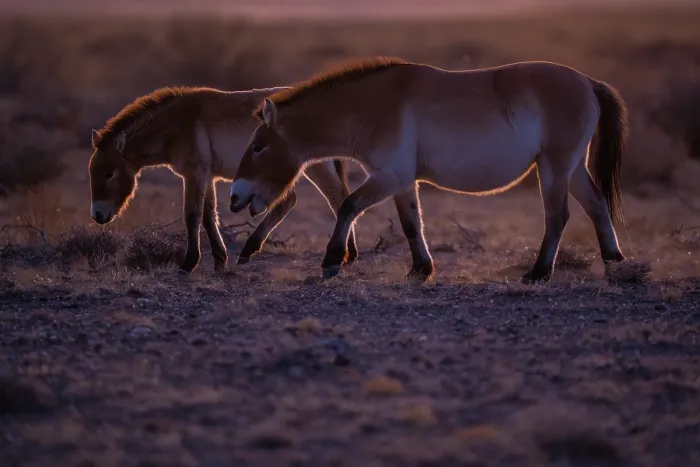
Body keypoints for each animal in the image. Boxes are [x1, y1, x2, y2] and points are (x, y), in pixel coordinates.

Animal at [88, 86, 360, 273]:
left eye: (108, 173)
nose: (97, 216)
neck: (176, 124)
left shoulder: (194, 175)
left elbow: (192, 216)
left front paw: (189, 263)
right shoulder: (207, 177)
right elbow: (209, 215)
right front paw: (220, 259)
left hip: (315, 168)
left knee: (334, 198)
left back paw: (347, 255)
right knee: (296, 201)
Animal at [229, 57, 628, 283]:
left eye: (258, 145)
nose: (234, 196)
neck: (371, 105)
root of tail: (588, 82)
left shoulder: (389, 175)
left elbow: (348, 206)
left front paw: (331, 261)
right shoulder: (403, 181)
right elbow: (411, 224)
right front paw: (421, 269)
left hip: (555, 166)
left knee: (558, 216)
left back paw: (539, 273)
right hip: (571, 168)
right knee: (596, 206)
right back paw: (614, 263)